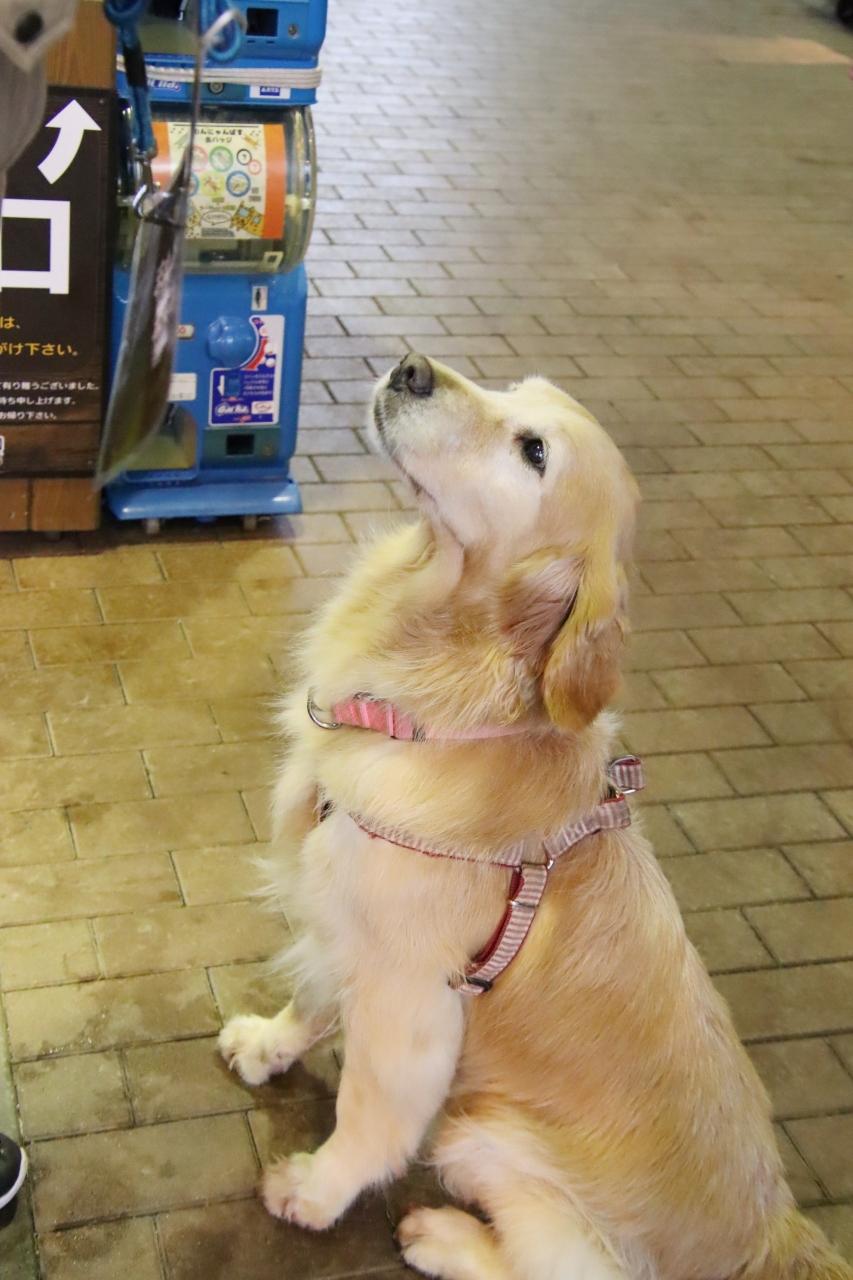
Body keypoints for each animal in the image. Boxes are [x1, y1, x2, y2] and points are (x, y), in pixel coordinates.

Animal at [219, 355, 851, 1280]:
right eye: (510, 389)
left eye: (533, 451)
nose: (410, 367)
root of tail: (771, 1233)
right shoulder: (341, 928)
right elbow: (309, 997)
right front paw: (266, 1044)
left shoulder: (412, 1002)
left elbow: (368, 1116)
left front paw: (314, 1190)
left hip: (485, 1136)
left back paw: (440, 1235)